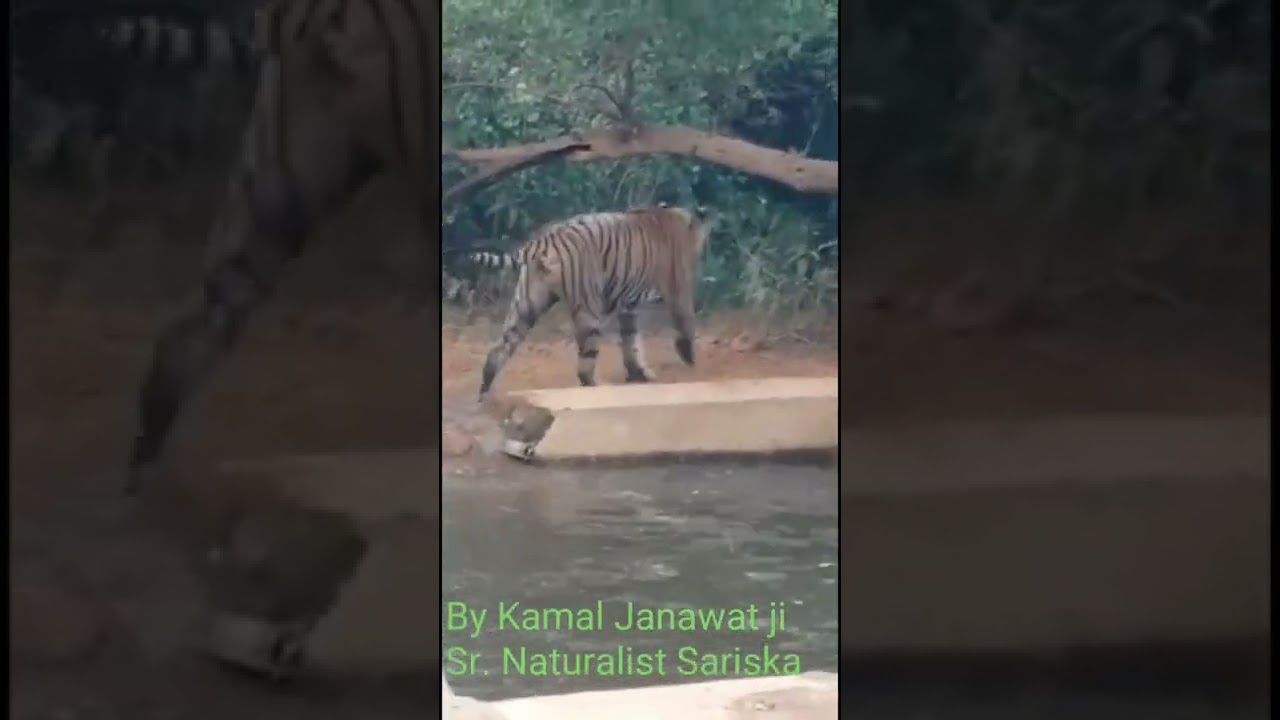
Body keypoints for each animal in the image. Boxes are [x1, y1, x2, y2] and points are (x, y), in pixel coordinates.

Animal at [476, 205, 712, 402]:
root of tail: (544, 240)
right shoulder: (679, 289)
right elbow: (685, 322)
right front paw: (689, 358)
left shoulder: (629, 307)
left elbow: (631, 340)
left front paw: (638, 373)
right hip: (588, 310)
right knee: (584, 367)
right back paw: (597, 388)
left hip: (526, 305)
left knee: (498, 350)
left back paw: (484, 395)